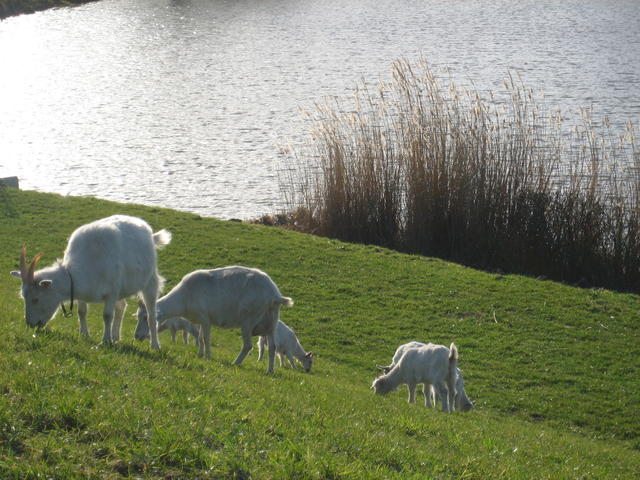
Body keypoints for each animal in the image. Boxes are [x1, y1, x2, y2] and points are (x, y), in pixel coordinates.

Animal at [10, 215, 171, 349]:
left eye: (36, 299)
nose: (30, 324)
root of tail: (149, 233)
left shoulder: (112, 292)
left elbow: (107, 315)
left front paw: (105, 341)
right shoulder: (82, 292)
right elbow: (82, 312)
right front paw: (84, 335)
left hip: (150, 281)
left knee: (151, 314)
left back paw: (154, 345)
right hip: (122, 289)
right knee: (121, 307)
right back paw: (116, 337)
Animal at [134, 266, 293, 373]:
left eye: (145, 317)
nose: (136, 336)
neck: (183, 298)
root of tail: (274, 296)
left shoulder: (205, 319)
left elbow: (205, 339)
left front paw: (208, 356)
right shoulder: (200, 321)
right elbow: (200, 337)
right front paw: (200, 354)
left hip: (249, 320)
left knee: (248, 346)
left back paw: (235, 363)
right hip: (270, 323)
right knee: (272, 348)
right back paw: (270, 370)